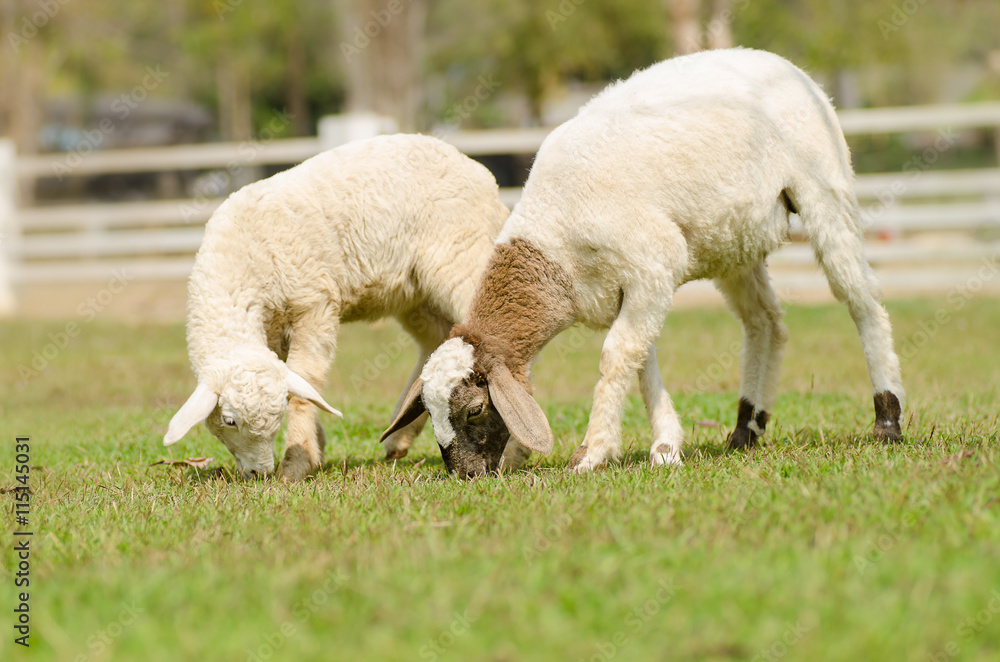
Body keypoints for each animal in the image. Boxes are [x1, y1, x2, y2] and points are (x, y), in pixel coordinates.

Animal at [163, 133, 518, 480]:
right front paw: (315, 446)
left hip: (464, 258)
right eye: (230, 420)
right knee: (438, 343)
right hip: (415, 295)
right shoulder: (272, 330)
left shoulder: (314, 305)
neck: (240, 262)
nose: (259, 473)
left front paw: (298, 462)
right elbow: (299, 382)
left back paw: (515, 449)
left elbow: (304, 381)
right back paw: (399, 437)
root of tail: (478, 170)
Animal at [380, 48, 906, 477]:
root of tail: (789, 66)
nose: (465, 476)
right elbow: (639, 360)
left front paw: (592, 453)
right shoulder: (624, 290)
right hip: (734, 241)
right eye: (430, 412)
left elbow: (617, 356)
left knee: (863, 302)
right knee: (766, 323)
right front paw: (666, 445)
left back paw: (887, 419)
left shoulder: (652, 266)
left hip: (825, 192)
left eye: (473, 410)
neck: (555, 239)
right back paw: (745, 429)